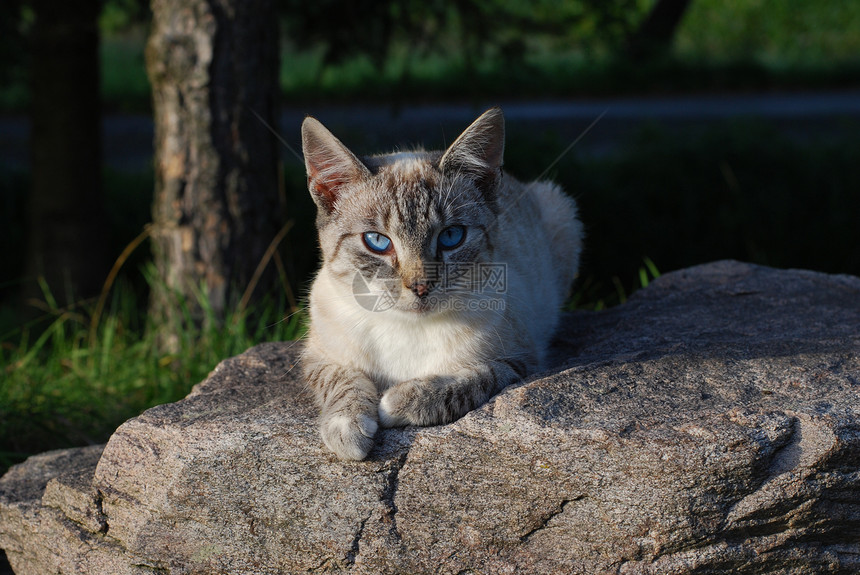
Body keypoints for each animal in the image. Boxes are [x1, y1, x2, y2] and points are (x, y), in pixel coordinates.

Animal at [298, 107, 580, 460]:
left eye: (451, 236)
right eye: (377, 241)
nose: (420, 286)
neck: (404, 329)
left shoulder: (520, 361)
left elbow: (467, 380)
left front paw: (396, 402)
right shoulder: (317, 355)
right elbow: (343, 381)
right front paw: (348, 429)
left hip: (560, 207)